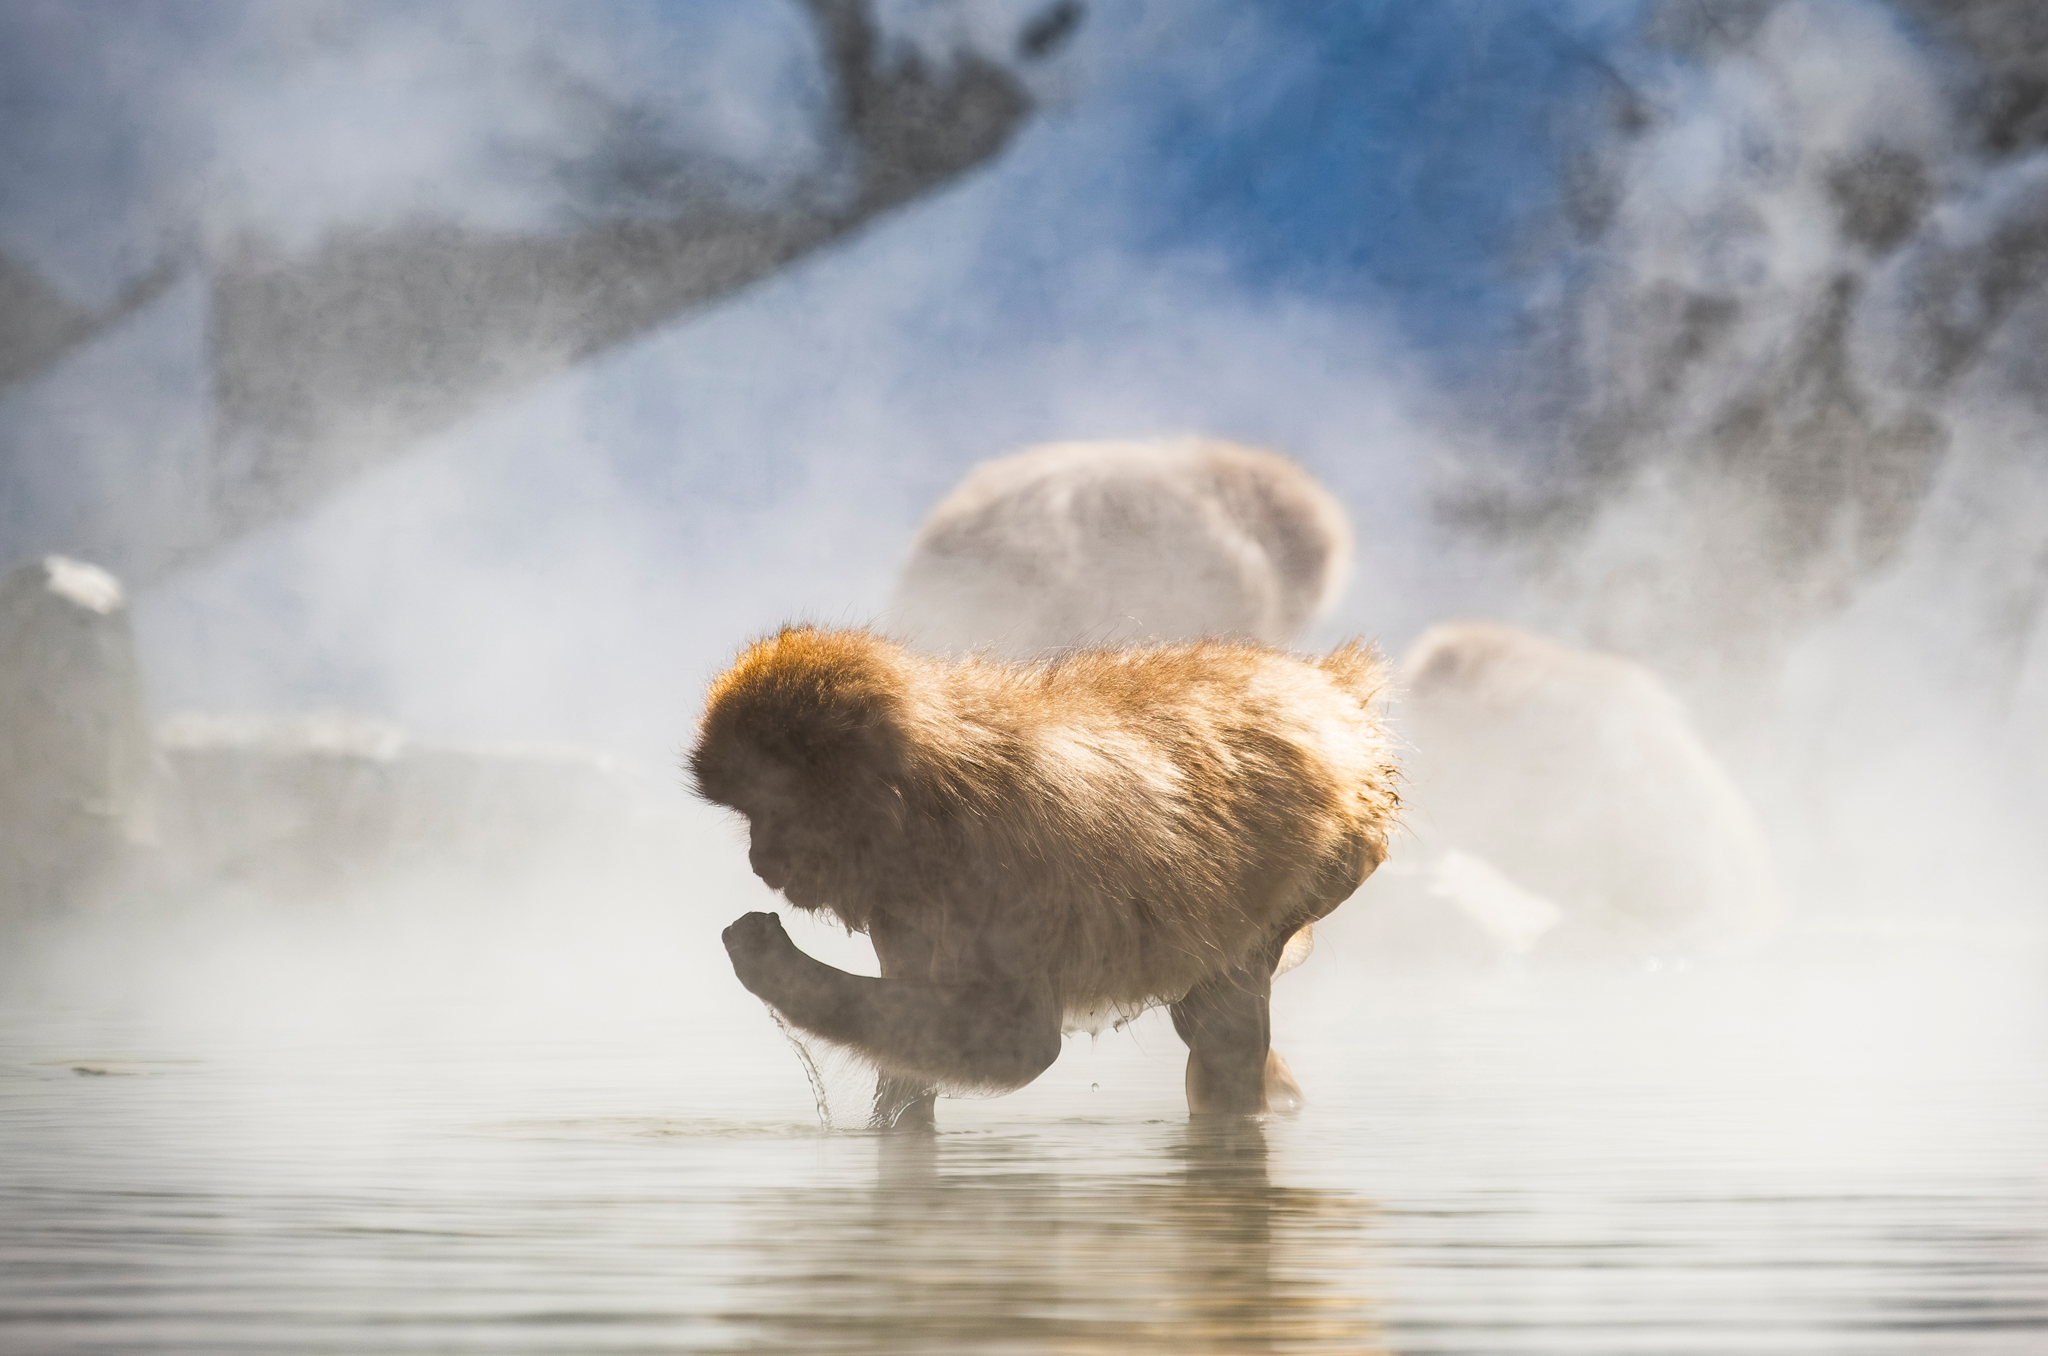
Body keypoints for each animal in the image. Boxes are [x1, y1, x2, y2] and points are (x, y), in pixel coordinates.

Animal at [689, 625, 1398, 1122]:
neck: (925, 805)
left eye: (774, 811)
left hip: (1332, 851)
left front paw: (772, 962)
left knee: (1224, 1024)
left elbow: (1021, 1044)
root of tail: (1328, 693)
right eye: (751, 816)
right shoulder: (900, 898)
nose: (759, 858)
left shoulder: (997, 861)